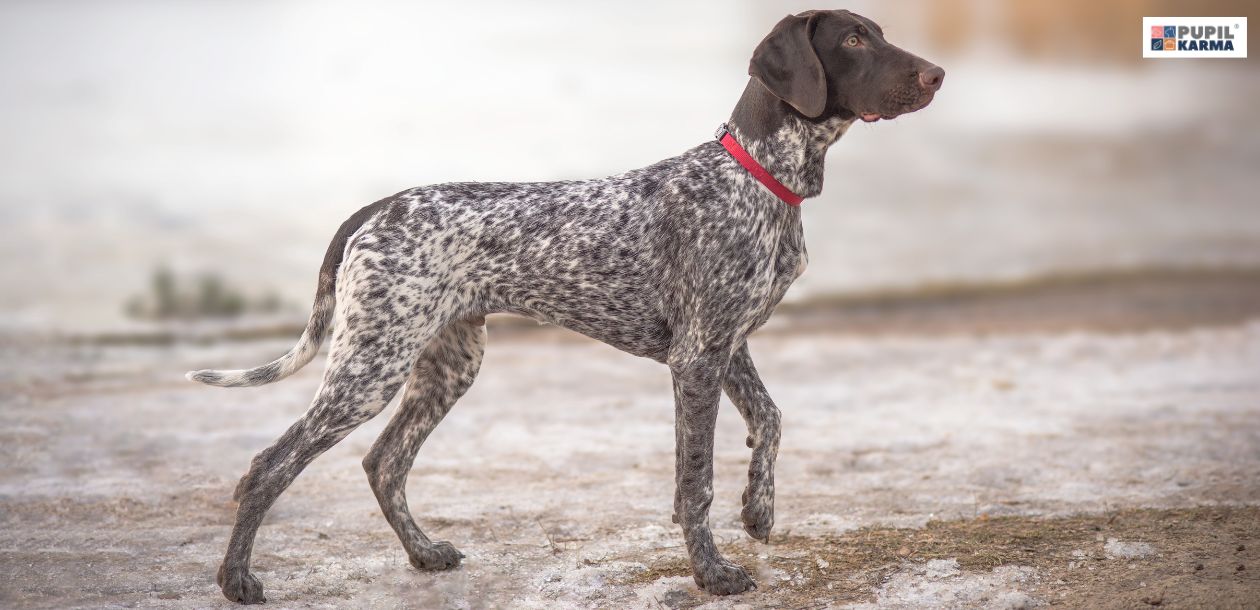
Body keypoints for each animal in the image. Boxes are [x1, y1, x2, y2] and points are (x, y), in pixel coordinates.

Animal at [189, 9, 947, 599]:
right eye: (854, 40)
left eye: (877, 33)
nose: (938, 74)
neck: (759, 175)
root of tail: (382, 206)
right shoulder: (697, 360)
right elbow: (694, 483)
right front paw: (711, 573)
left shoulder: (726, 346)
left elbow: (771, 420)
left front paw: (758, 510)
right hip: (370, 365)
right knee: (269, 467)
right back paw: (238, 581)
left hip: (446, 365)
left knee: (385, 462)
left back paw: (424, 553)